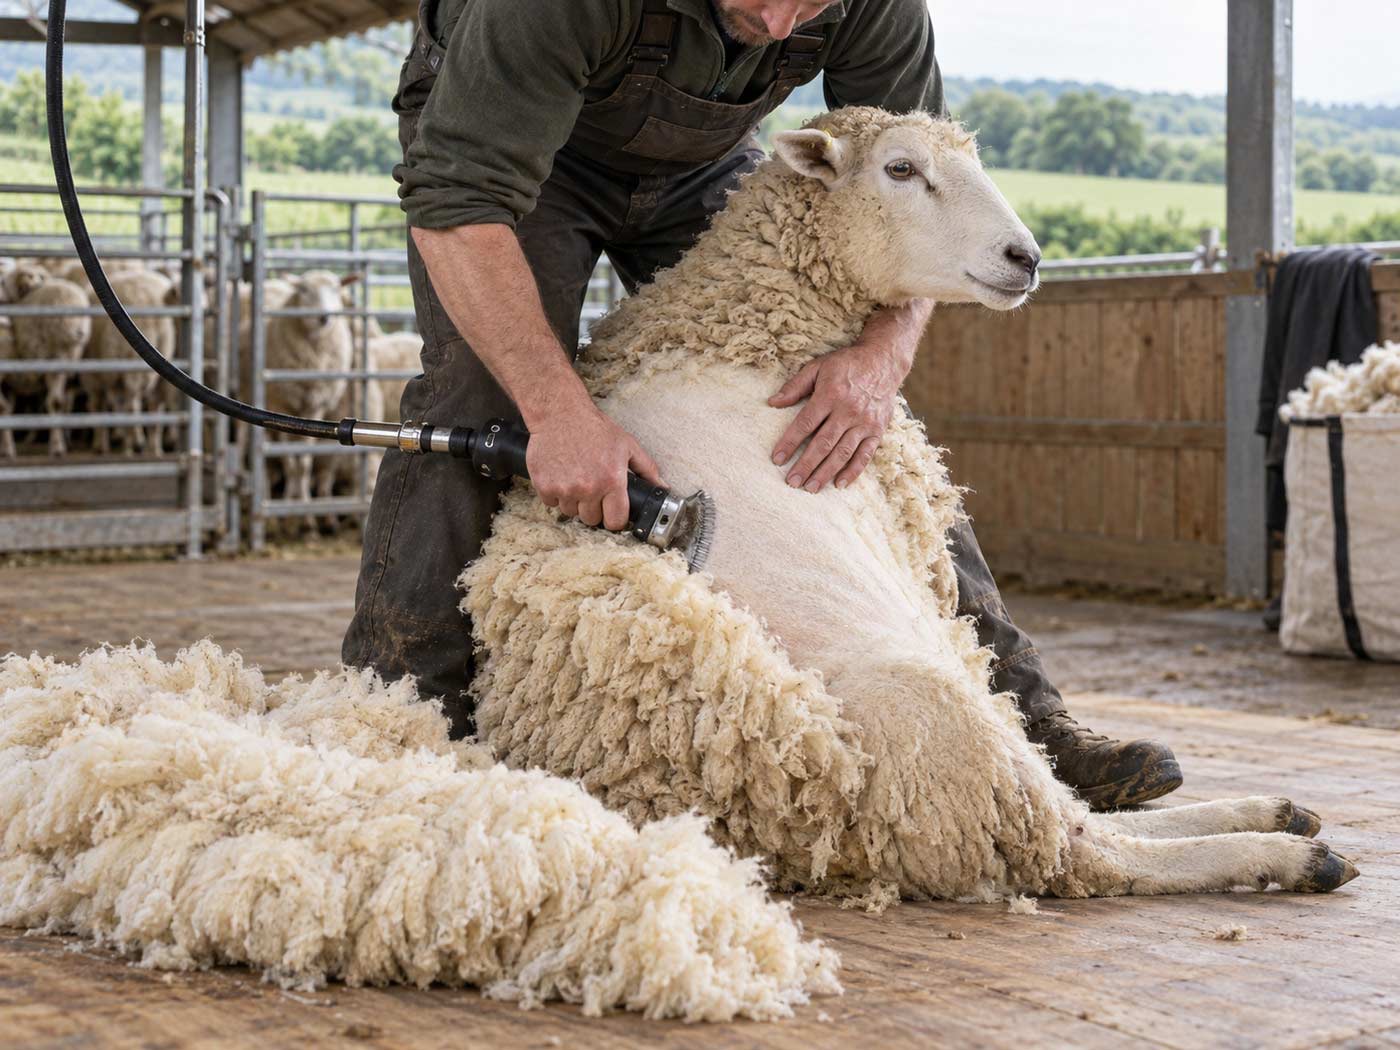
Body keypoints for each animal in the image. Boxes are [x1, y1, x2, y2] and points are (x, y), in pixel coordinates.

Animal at [0, 263, 91, 457]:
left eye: (4, 281)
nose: (79, 332)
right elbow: (3, 408)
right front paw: (8, 448)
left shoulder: (57, 364)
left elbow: (56, 403)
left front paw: (57, 447)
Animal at [80, 270, 179, 456]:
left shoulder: (95, 377)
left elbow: (98, 404)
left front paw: (102, 444)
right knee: (153, 407)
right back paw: (152, 448)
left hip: (130, 364)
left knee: (130, 403)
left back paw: (134, 443)